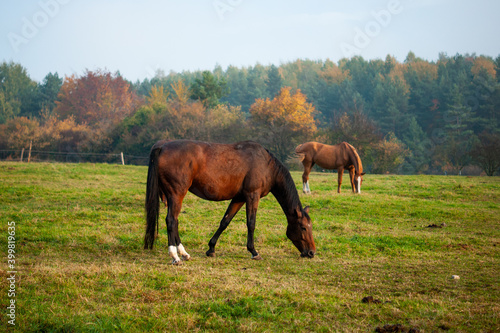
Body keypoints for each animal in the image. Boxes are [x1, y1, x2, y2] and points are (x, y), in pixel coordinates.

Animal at [146, 139, 316, 264]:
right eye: (303, 227)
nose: (311, 252)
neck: (266, 165)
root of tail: (162, 146)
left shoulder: (239, 198)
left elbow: (225, 222)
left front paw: (211, 248)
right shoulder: (252, 196)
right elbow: (251, 223)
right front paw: (254, 251)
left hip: (172, 196)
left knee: (174, 221)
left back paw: (183, 253)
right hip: (176, 194)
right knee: (171, 221)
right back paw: (175, 256)